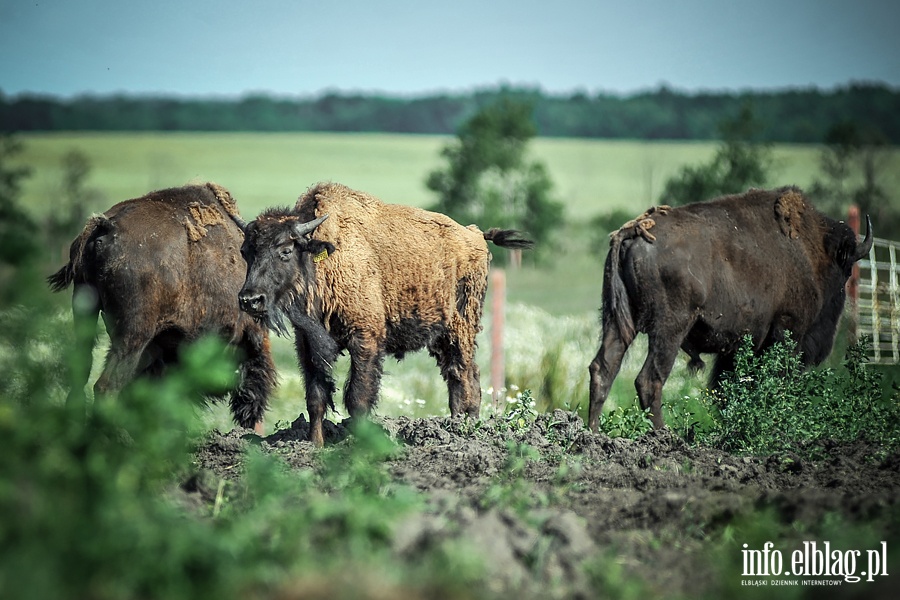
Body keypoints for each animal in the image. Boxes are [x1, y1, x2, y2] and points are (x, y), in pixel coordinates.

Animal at [48, 183, 274, 426]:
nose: (251, 411)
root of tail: (105, 229)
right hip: (133, 335)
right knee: (106, 386)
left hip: (85, 311)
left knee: (81, 372)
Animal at [239, 180, 536, 442]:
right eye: (246, 251)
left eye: (285, 250)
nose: (250, 299)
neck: (324, 255)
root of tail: (475, 234)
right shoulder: (308, 344)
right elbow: (316, 398)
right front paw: (316, 445)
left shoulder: (365, 337)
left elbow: (357, 398)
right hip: (443, 335)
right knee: (457, 376)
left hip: (461, 327)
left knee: (466, 376)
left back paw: (465, 430)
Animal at [588, 186, 876, 432]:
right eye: (846, 271)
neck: (812, 253)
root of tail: (634, 231)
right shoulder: (787, 333)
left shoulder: (736, 348)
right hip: (669, 329)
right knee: (649, 379)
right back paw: (663, 434)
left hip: (618, 322)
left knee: (603, 368)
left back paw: (593, 432)